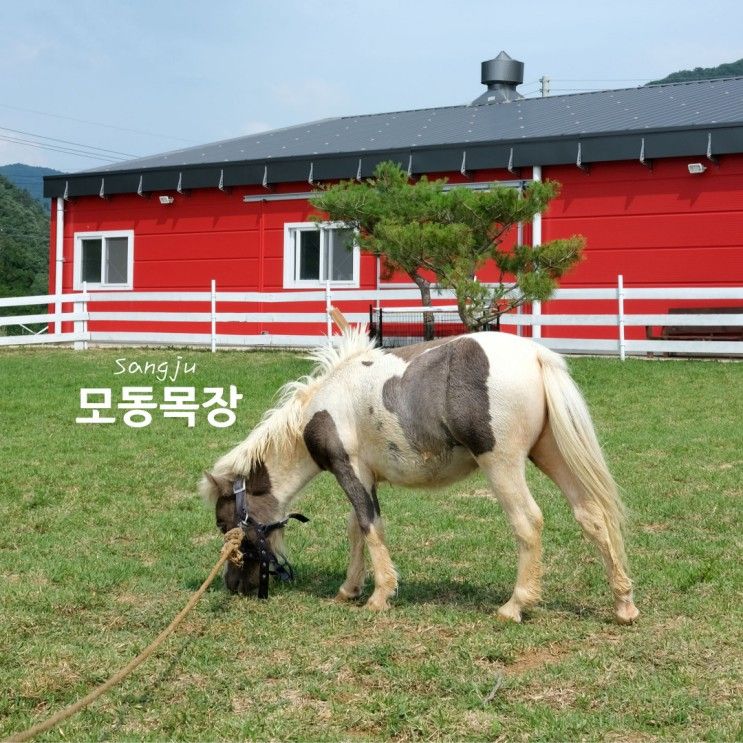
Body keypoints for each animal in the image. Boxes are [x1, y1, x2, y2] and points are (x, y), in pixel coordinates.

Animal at [202, 328, 640, 624]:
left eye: (226, 526)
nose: (232, 585)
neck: (321, 409)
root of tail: (535, 356)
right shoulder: (366, 477)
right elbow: (357, 529)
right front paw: (349, 590)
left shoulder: (349, 470)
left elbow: (369, 527)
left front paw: (379, 596)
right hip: (549, 455)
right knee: (591, 515)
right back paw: (623, 604)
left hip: (502, 463)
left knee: (528, 522)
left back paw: (515, 605)